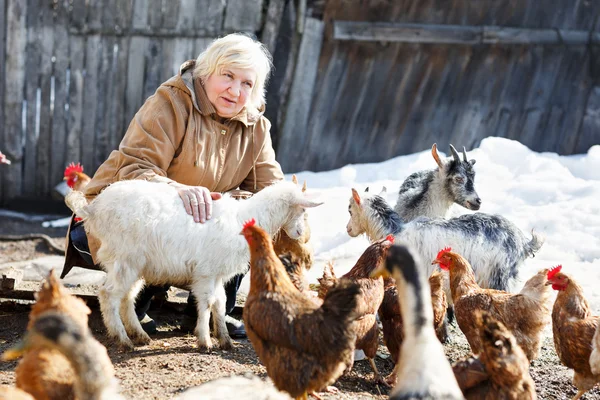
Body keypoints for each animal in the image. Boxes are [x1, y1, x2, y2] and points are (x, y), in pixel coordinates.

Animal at [64, 180, 324, 348]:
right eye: (302, 210)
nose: (299, 232)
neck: (244, 218)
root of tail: (93, 208)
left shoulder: (217, 273)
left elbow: (220, 302)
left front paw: (224, 339)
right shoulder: (206, 271)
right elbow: (207, 302)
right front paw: (205, 340)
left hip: (134, 264)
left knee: (126, 296)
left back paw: (139, 335)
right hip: (125, 257)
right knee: (108, 294)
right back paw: (123, 340)